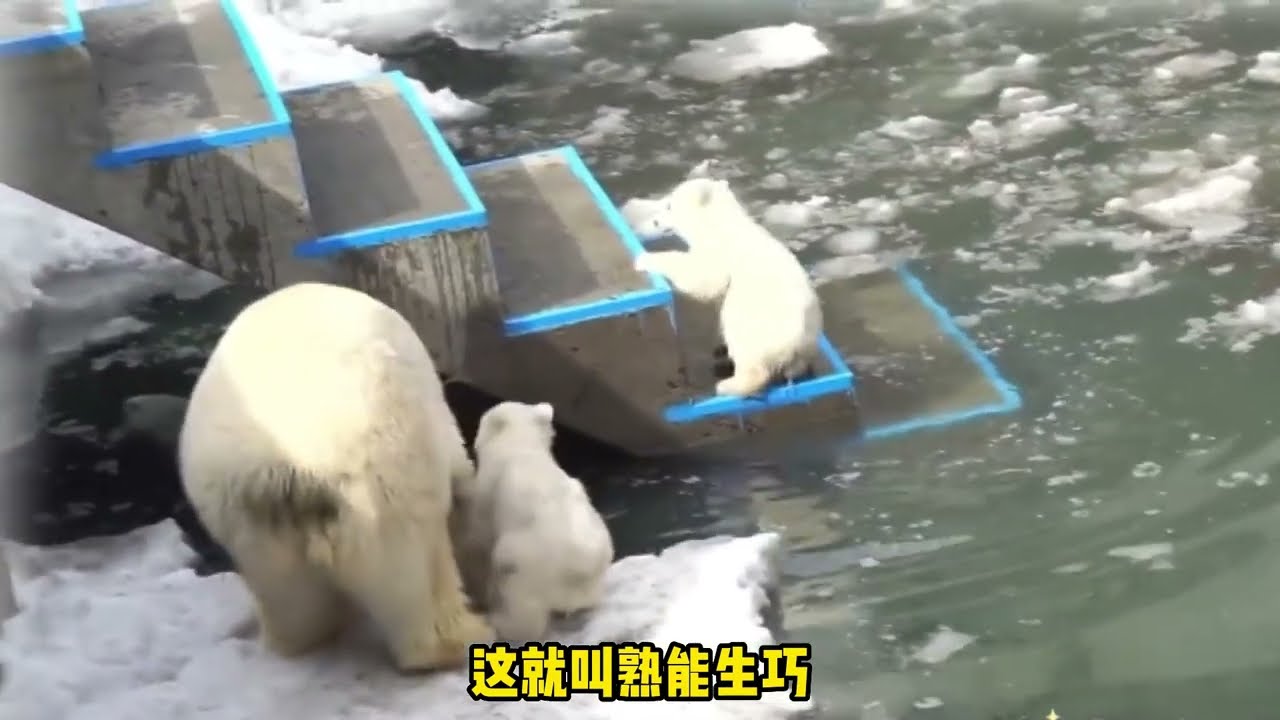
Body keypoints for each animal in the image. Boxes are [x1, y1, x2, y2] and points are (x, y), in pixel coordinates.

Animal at [177, 282, 494, 672]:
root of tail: (286, 471)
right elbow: (458, 467)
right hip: (382, 477)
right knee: (413, 559)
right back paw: (463, 637)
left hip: (248, 523)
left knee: (293, 604)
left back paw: (292, 638)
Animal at [456, 401, 613, 646]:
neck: (523, 447)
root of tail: (580, 566)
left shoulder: (488, 491)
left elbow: (479, 536)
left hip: (526, 565)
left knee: (522, 613)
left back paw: (496, 620)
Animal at [633, 177, 823, 397]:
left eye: (669, 205)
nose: (655, 221)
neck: (721, 224)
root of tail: (797, 344)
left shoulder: (721, 253)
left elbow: (705, 279)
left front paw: (644, 259)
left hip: (759, 327)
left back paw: (728, 384)